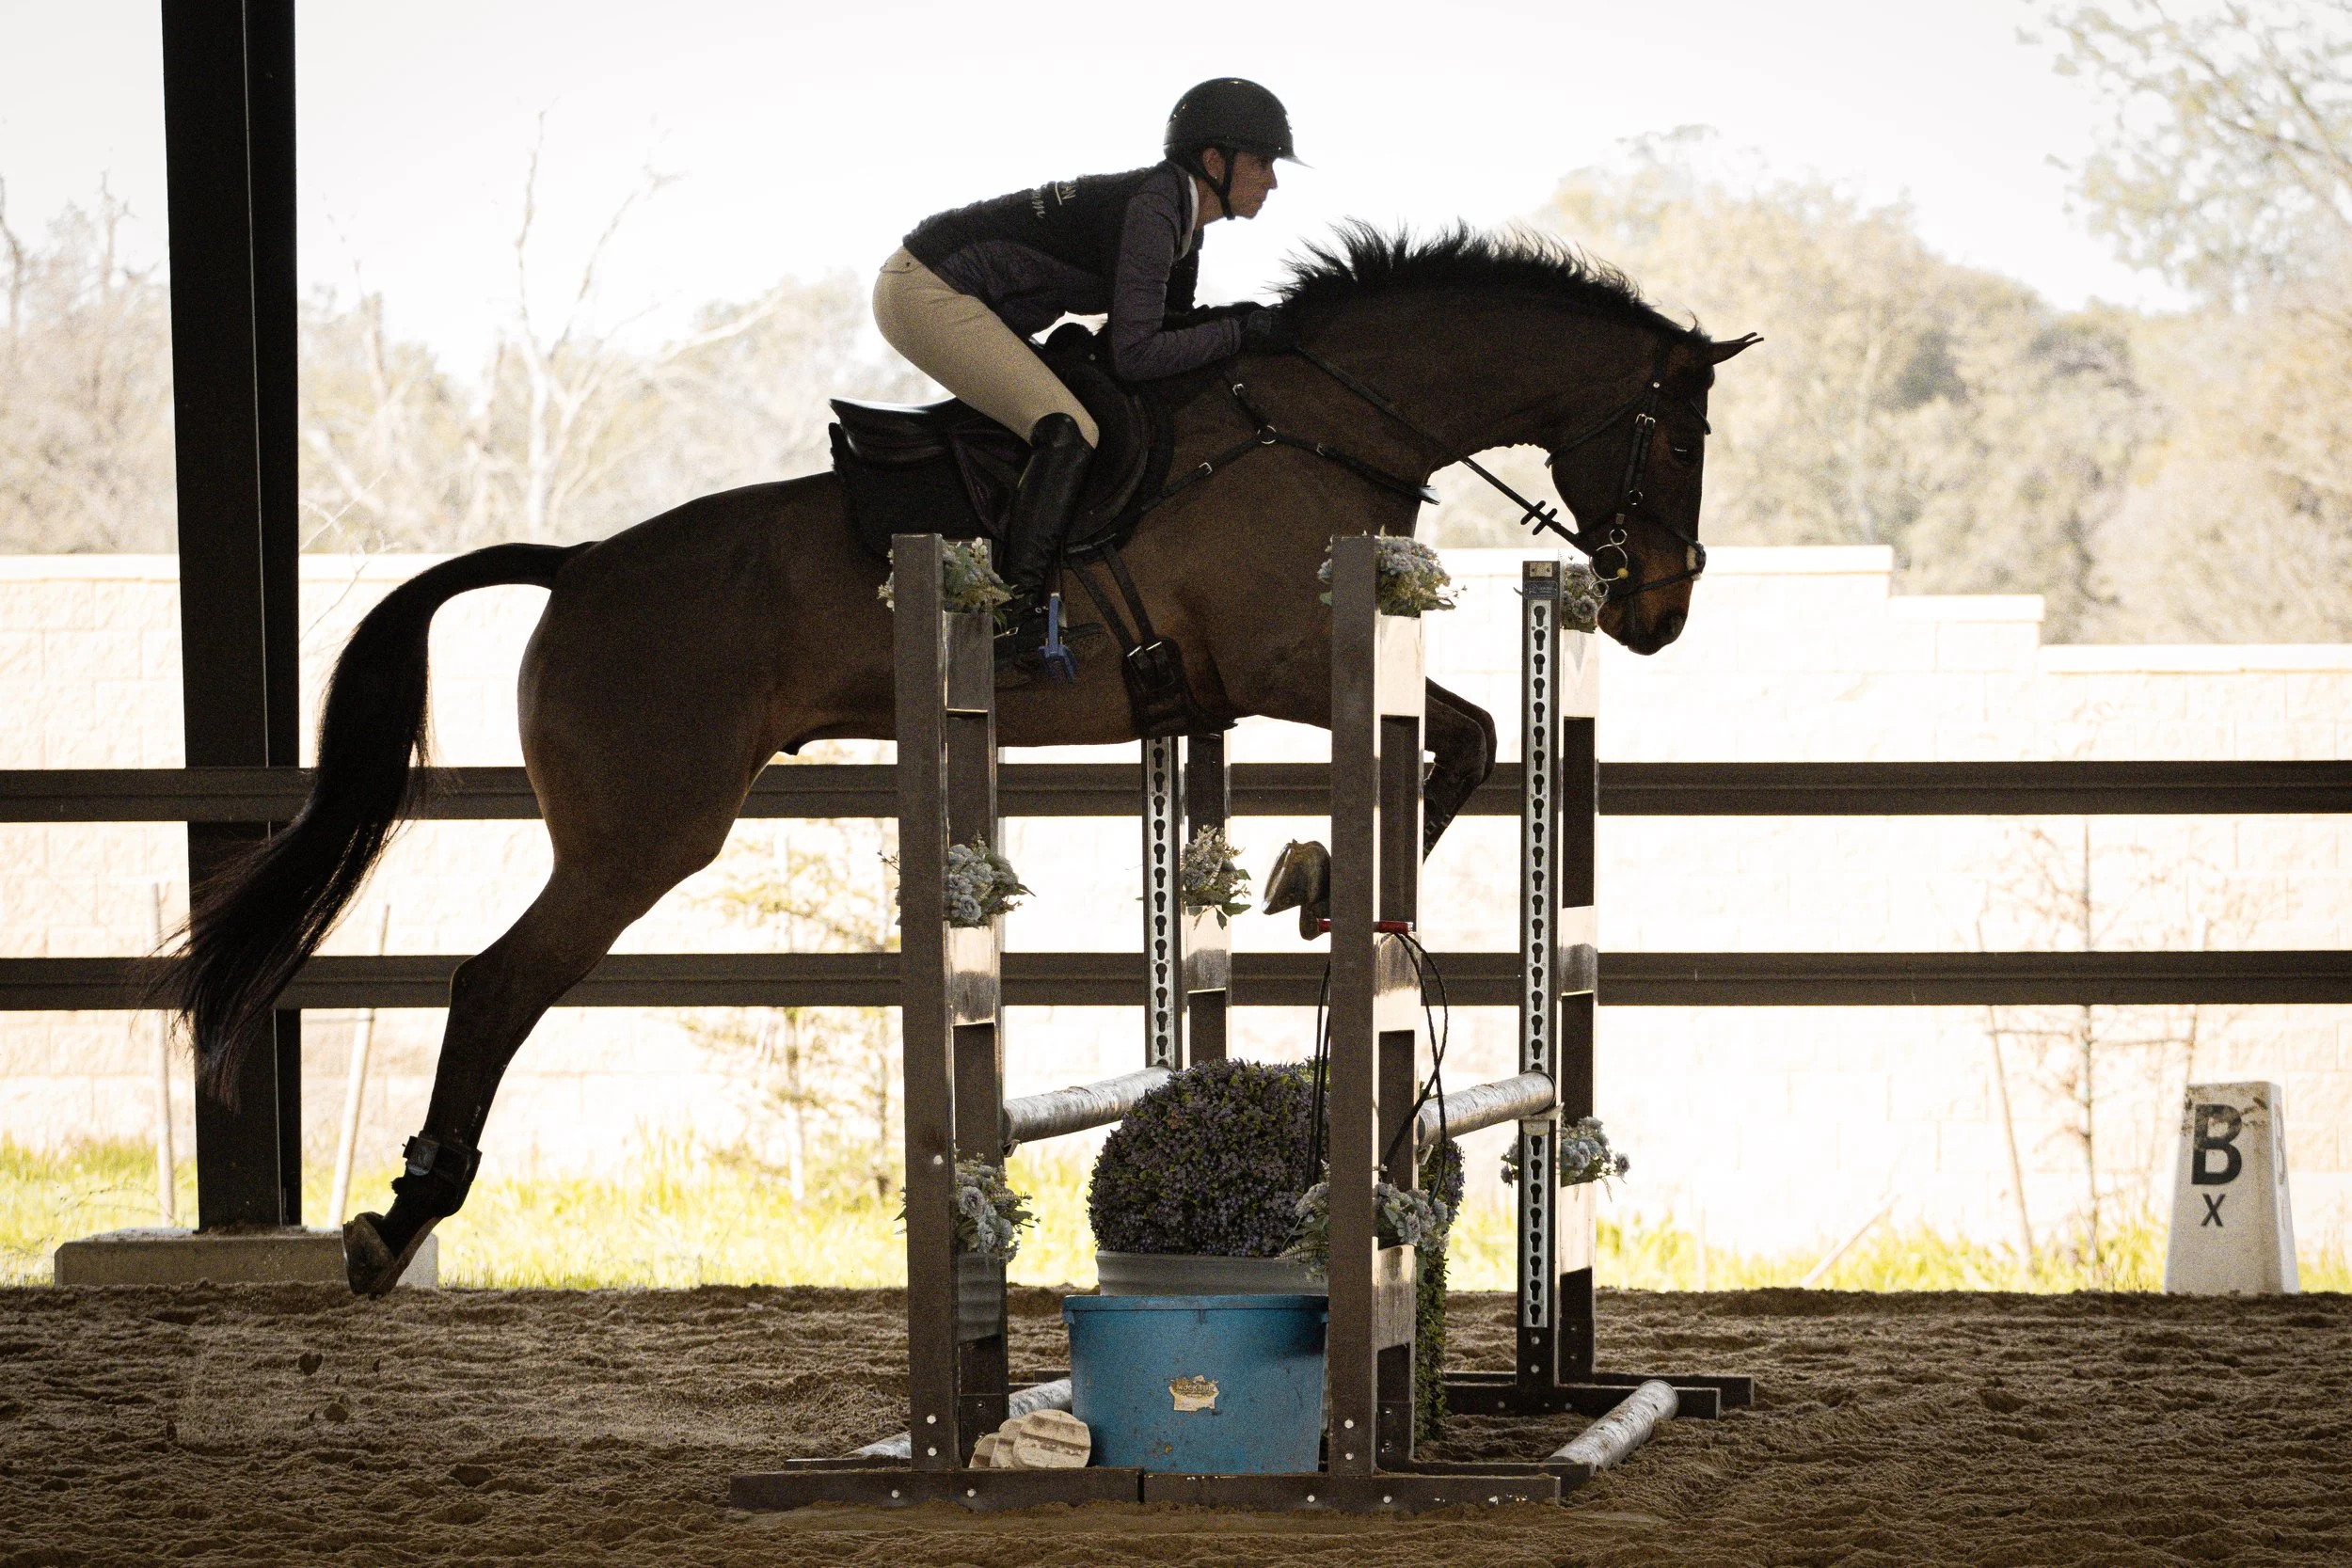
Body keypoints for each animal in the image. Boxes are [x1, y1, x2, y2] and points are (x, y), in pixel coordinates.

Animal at [169, 225, 1754, 1294]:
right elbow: (1470, 738)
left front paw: (1314, 883)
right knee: (495, 982)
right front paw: (1321, 880)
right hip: (643, 834)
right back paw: (397, 1221)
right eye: (1679, 437)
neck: (1318, 421)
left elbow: (1457, 749)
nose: (1659, 608)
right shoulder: (1287, 661)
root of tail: (579, 565)